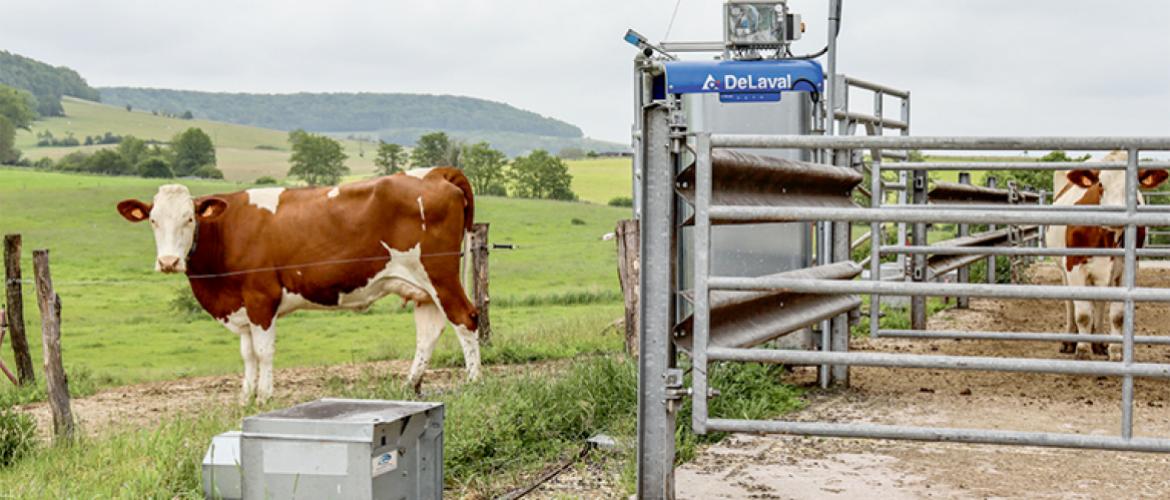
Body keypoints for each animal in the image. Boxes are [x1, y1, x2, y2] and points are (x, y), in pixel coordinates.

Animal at [115, 168, 479, 402]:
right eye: (153, 220)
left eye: (189, 218)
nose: (168, 262)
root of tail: (434, 173)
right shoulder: (241, 305)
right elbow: (247, 354)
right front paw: (245, 397)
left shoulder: (262, 298)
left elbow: (263, 351)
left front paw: (264, 396)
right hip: (423, 288)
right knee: (429, 333)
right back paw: (409, 386)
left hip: (441, 276)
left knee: (466, 319)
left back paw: (474, 382)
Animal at [1048, 151, 1165, 362]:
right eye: (1100, 184)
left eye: (1134, 187)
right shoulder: (1074, 267)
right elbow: (1083, 313)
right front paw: (1082, 350)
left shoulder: (1125, 270)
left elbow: (1117, 316)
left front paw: (1115, 351)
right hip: (1063, 271)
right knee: (1070, 305)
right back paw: (1070, 341)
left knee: (1100, 303)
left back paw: (1099, 342)